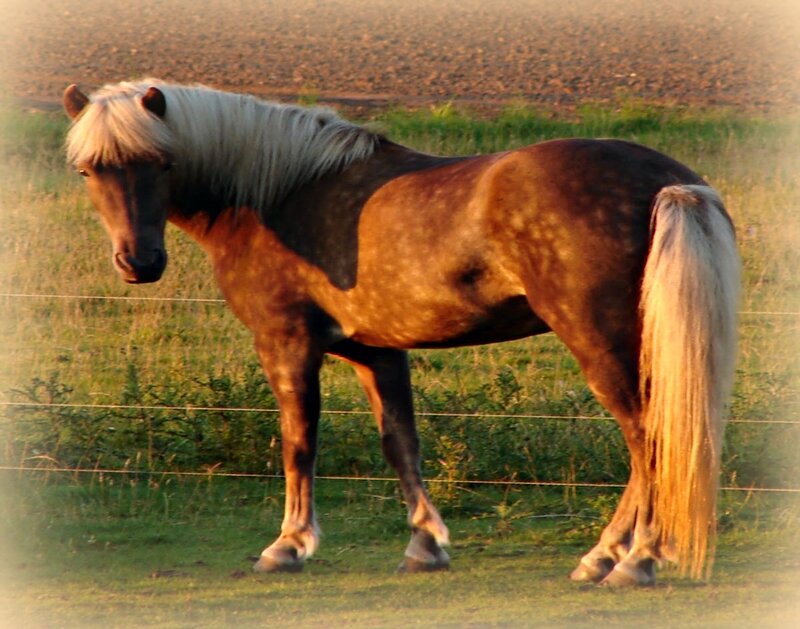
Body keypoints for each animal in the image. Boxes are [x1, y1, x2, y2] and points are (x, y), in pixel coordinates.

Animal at [62, 79, 739, 586]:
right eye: (88, 171)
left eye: (161, 162)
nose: (139, 263)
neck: (276, 193)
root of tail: (667, 181)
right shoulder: (377, 351)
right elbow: (400, 443)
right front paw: (426, 545)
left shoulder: (287, 343)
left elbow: (298, 444)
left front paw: (288, 545)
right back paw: (602, 557)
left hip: (601, 342)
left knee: (648, 439)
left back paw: (637, 559)